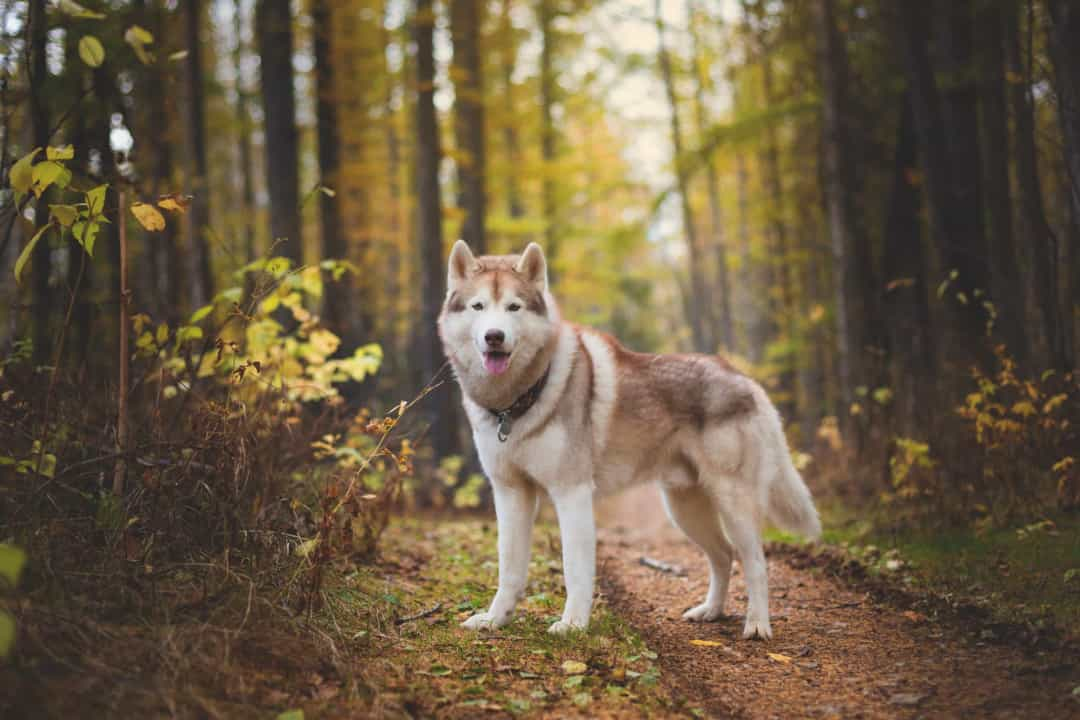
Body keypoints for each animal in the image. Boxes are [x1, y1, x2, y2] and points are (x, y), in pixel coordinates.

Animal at [438, 243, 816, 643]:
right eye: (478, 306)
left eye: (514, 307)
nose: (494, 336)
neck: (517, 402)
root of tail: (746, 379)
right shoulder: (511, 493)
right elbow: (509, 567)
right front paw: (495, 619)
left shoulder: (571, 493)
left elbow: (575, 570)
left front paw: (573, 624)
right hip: (684, 508)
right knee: (724, 556)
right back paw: (710, 611)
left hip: (733, 502)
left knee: (756, 562)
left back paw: (757, 624)